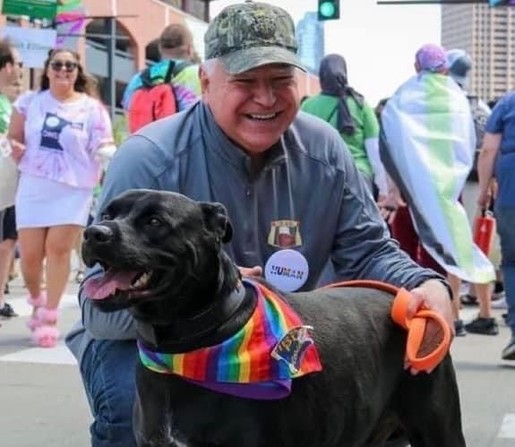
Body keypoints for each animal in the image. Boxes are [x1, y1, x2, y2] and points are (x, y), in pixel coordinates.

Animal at [81, 190, 468, 447]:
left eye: (155, 221)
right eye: (106, 214)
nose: (94, 233)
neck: (186, 344)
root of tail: (411, 305)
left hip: (439, 430)